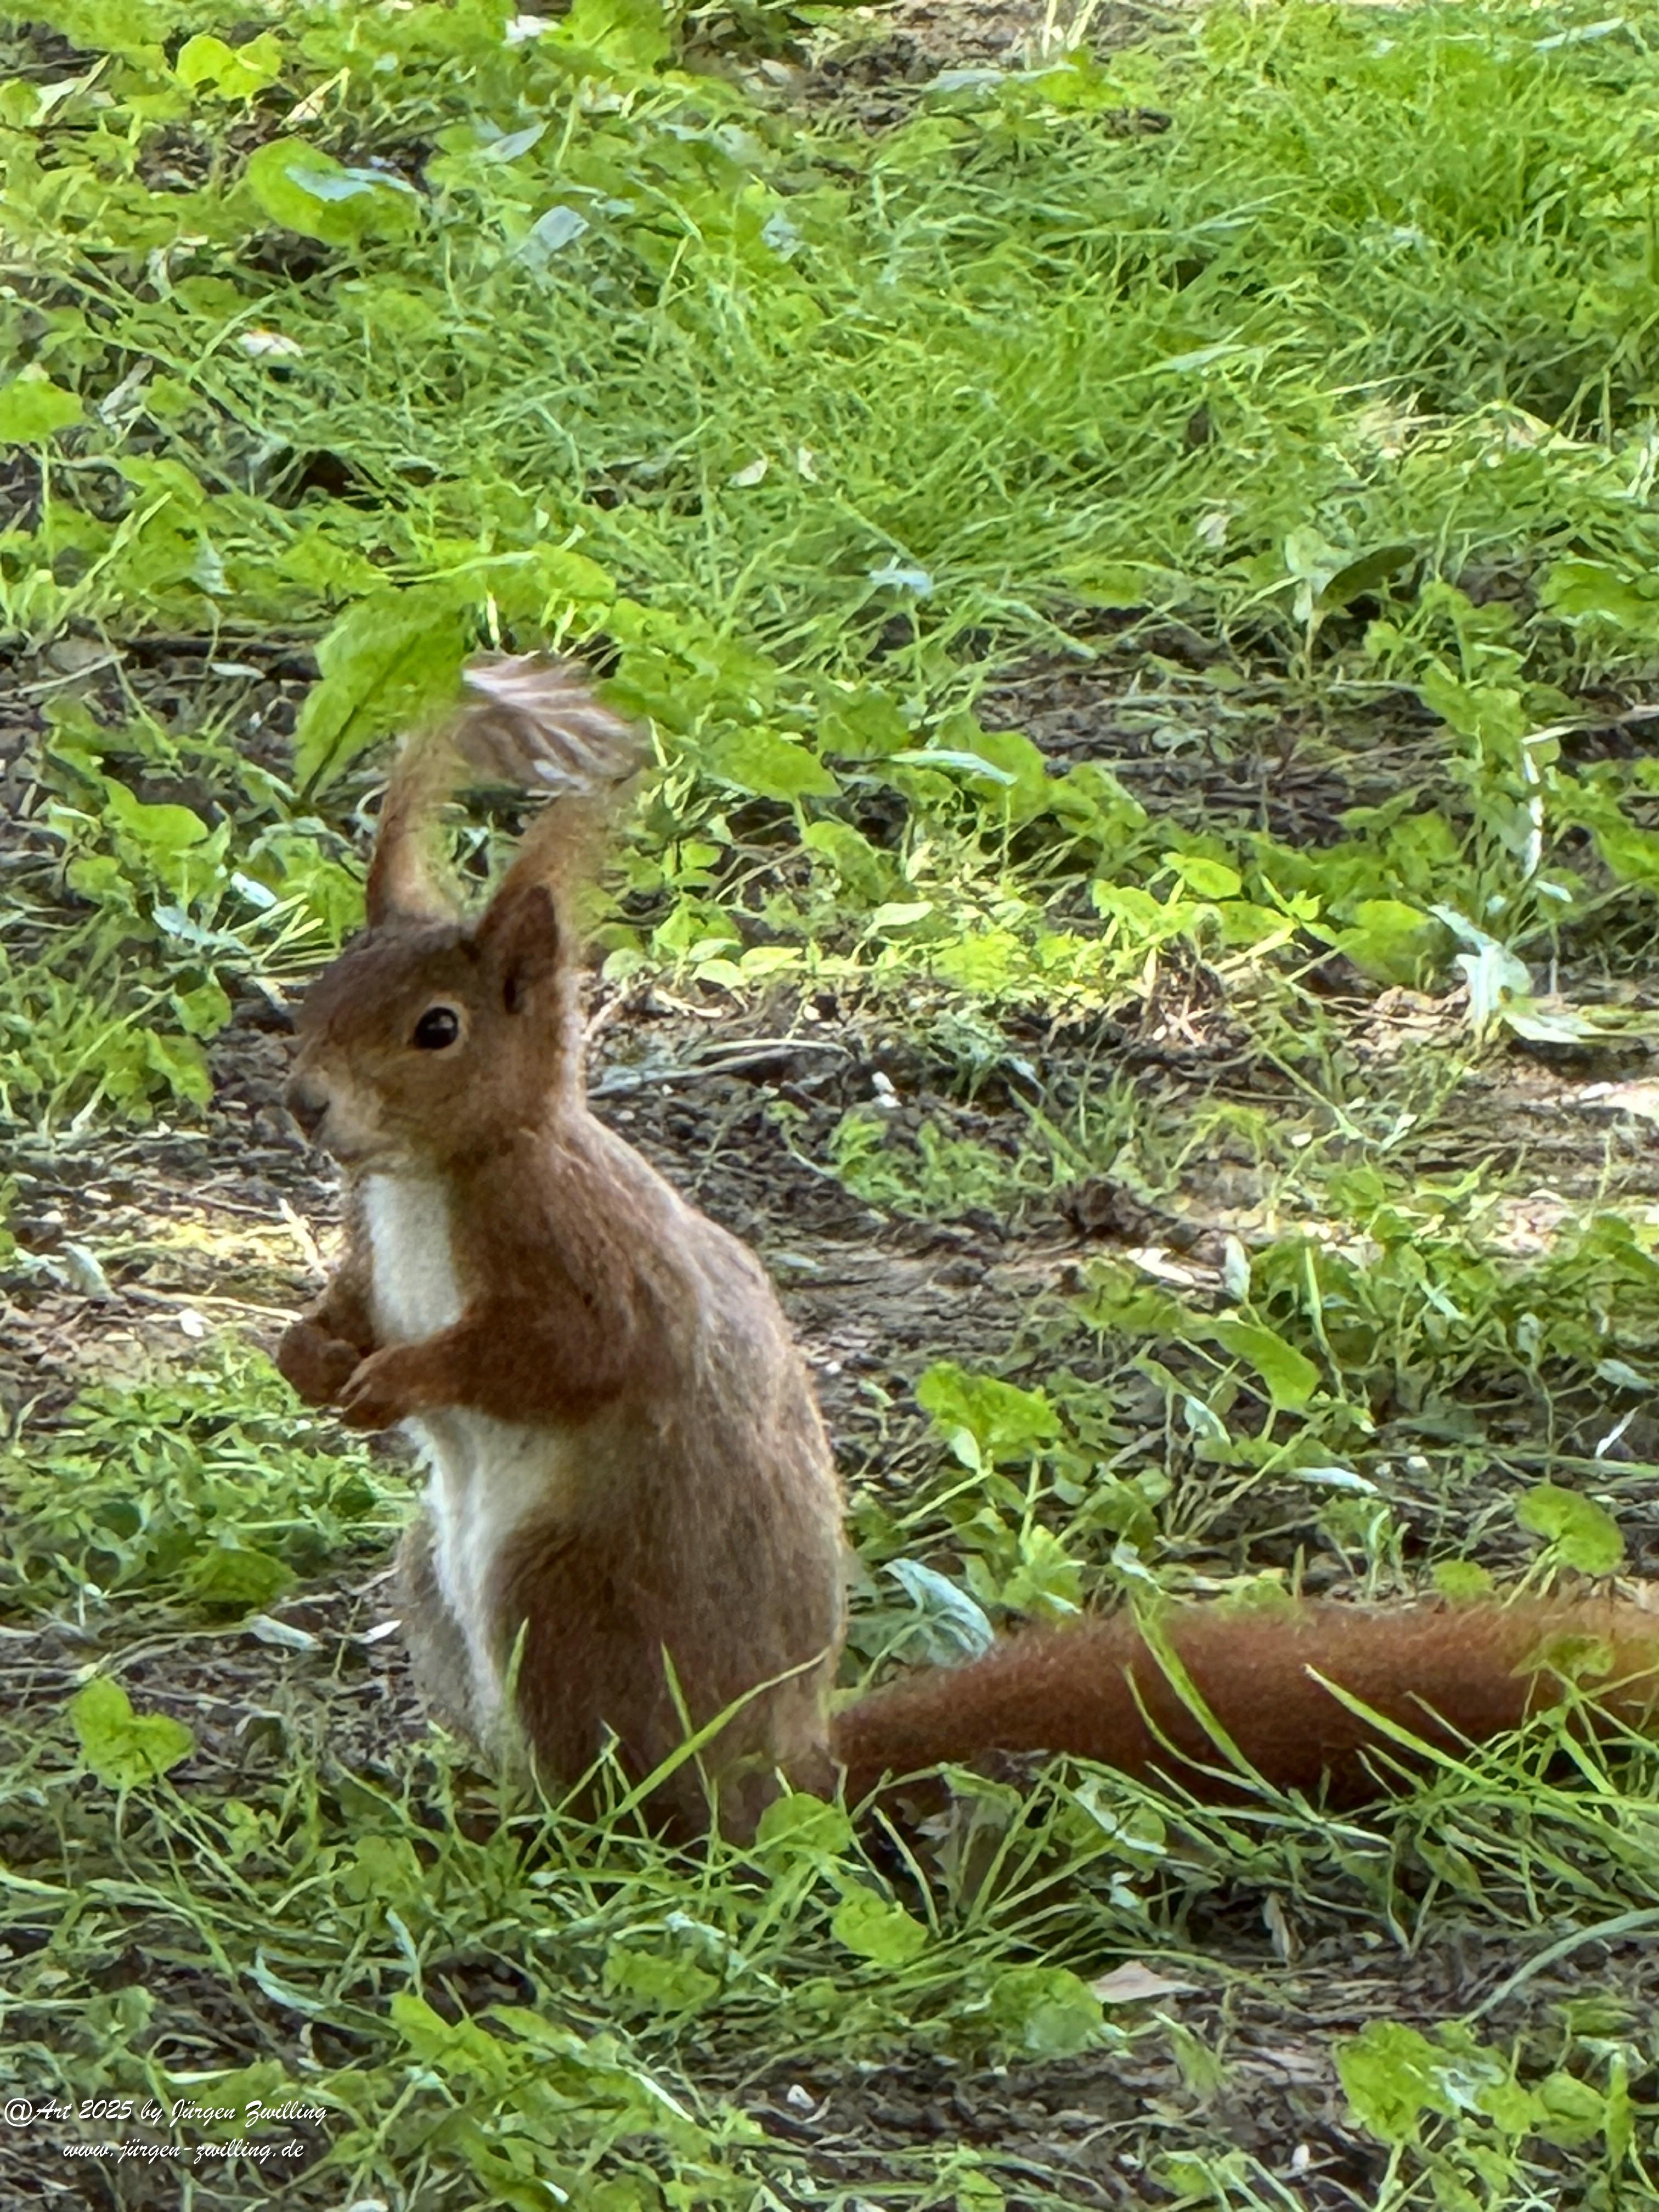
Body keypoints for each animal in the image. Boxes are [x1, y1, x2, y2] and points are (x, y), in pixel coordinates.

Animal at [277, 655, 1659, 1839]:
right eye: (323, 990)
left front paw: (403, 1377)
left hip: (566, 1594)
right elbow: (357, 1308)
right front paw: (310, 1353)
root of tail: (792, 1772)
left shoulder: (580, 1249)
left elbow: (567, 1354)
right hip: (437, 1578)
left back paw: (567, 1830)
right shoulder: (382, 1244)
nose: (307, 1104)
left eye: (439, 1028)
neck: (428, 1184)